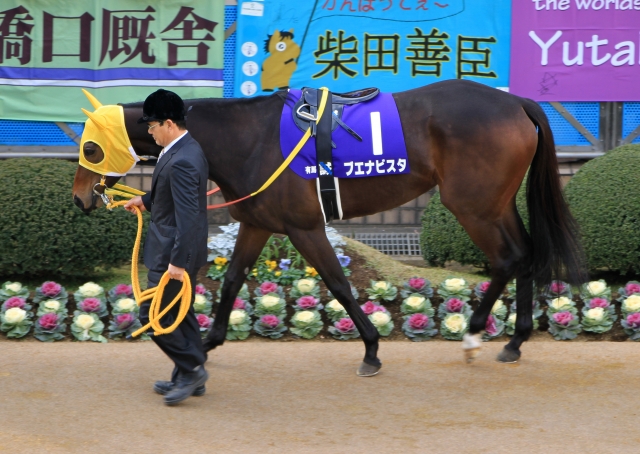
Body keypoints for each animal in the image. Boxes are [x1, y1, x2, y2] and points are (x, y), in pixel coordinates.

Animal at [72, 79, 586, 376]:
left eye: (91, 148)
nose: (80, 198)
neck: (250, 137)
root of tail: (517, 102)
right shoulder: (257, 224)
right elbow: (234, 279)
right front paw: (210, 343)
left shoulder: (304, 227)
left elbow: (338, 282)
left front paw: (372, 349)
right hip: (494, 203)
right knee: (525, 253)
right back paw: (515, 341)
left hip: (473, 206)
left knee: (507, 258)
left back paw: (476, 333)